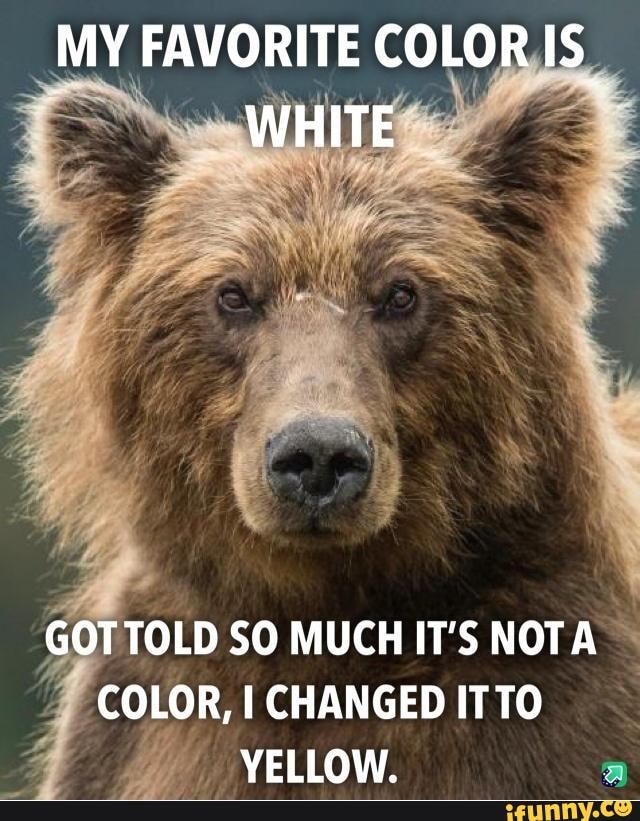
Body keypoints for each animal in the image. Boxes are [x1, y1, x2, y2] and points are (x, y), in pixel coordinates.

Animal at [10, 65, 640, 799]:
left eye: (400, 292)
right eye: (233, 293)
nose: (316, 455)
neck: (326, 614)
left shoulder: (546, 703)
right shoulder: (138, 729)